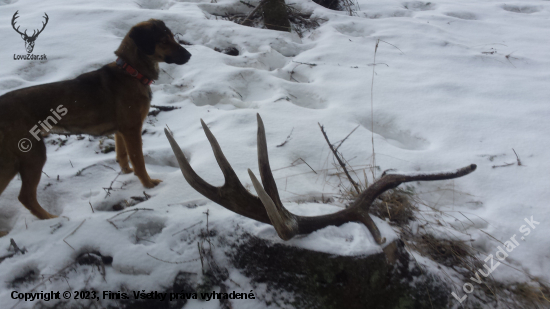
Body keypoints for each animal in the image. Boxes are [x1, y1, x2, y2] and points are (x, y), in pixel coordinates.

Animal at [0, 19, 192, 219]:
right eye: (163, 41)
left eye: (172, 37)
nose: (189, 55)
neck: (131, 72)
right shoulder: (132, 128)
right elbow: (138, 160)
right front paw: (149, 185)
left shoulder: (121, 131)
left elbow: (122, 155)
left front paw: (127, 173)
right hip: (30, 153)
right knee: (26, 196)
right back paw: (50, 219)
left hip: (9, 159)